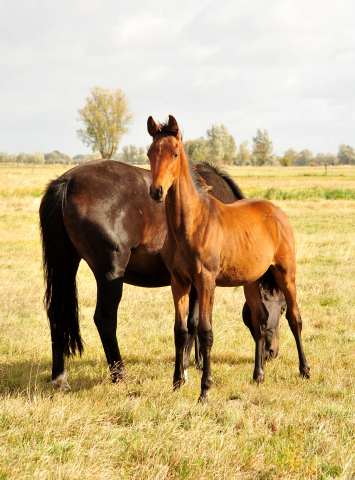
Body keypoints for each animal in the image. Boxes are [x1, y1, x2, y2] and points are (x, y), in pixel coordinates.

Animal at [39, 159, 284, 388]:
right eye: (282, 308)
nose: (272, 352)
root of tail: (68, 182)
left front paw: (196, 363)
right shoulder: (199, 282)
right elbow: (193, 323)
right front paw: (185, 367)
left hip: (66, 264)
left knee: (56, 314)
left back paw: (59, 378)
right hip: (110, 272)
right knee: (105, 319)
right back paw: (120, 374)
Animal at [147, 115, 312, 402]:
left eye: (175, 153)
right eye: (149, 153)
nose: (156, 191)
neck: (190, 224)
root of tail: (276, 210)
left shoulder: (205, 281)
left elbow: (205, 332)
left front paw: (204, 390)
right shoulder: (179, 281)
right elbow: (180, 331)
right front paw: (177, 383)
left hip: (285, 273)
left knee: (295, 317)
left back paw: (304, 370)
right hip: (251, 280)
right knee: (259, 320)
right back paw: (258, 375)